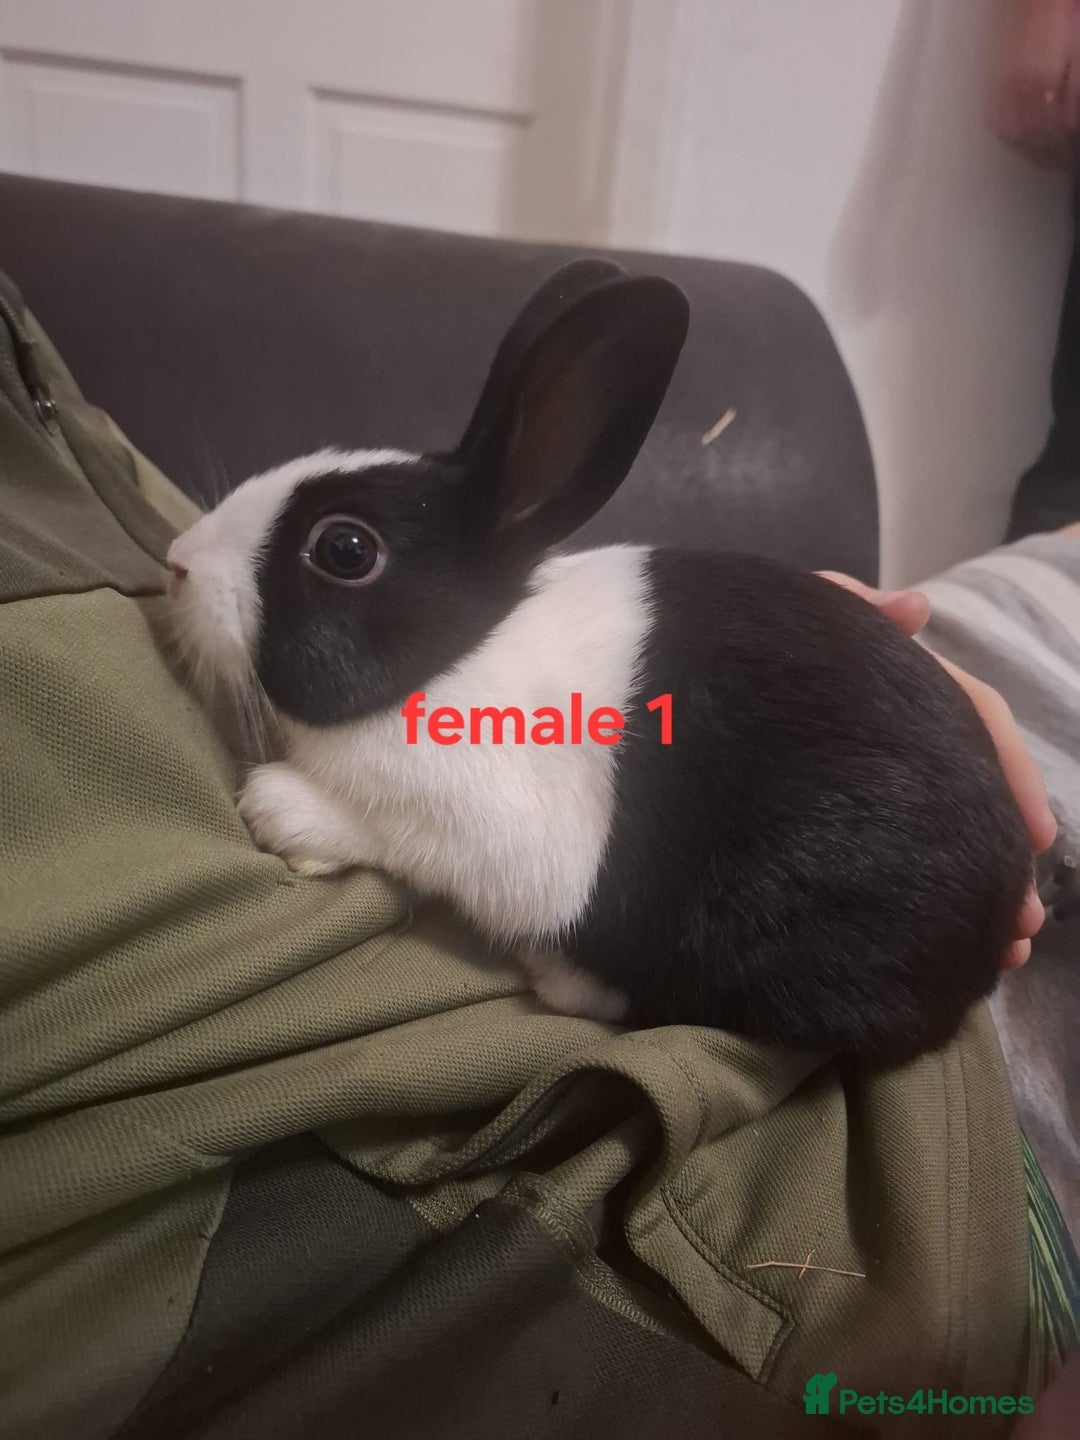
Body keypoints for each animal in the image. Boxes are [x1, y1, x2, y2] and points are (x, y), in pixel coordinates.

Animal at [167, 258, 1031, 1065]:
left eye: (345, 550)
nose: (178, 561)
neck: (457, 658)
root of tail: (990, 936)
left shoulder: (504, 834)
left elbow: (396, 837)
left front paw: (280, 811)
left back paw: (561, 978)